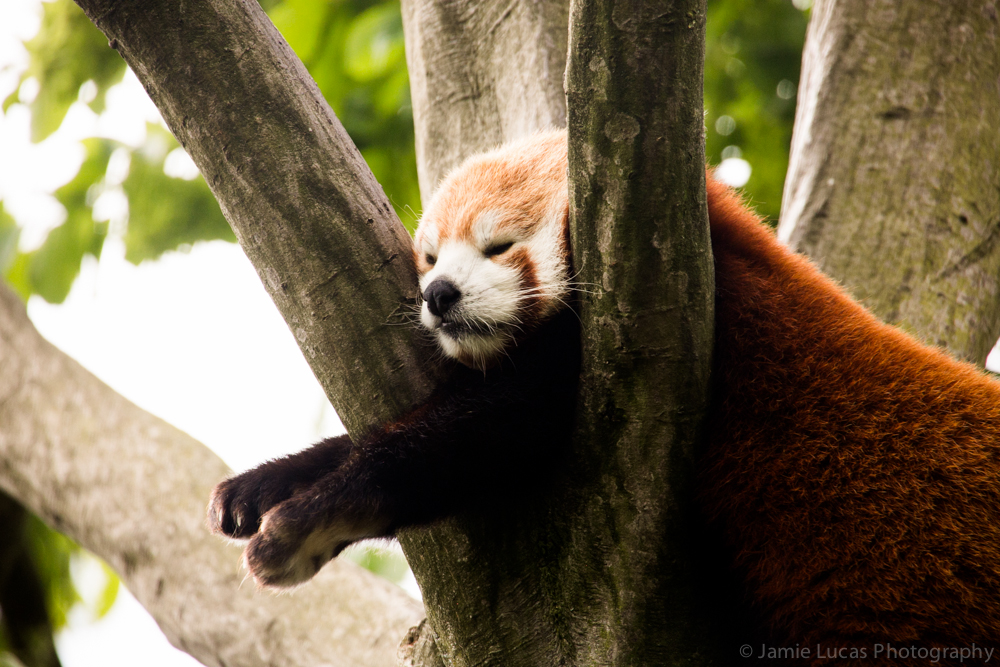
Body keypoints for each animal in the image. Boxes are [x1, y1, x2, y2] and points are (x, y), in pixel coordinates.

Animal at [209, 130, 1000, 650]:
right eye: (430, 257)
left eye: (498, 246)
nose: (438, 294)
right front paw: (264, 482)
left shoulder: (683, 332)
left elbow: (471, 437)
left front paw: (306, 520)